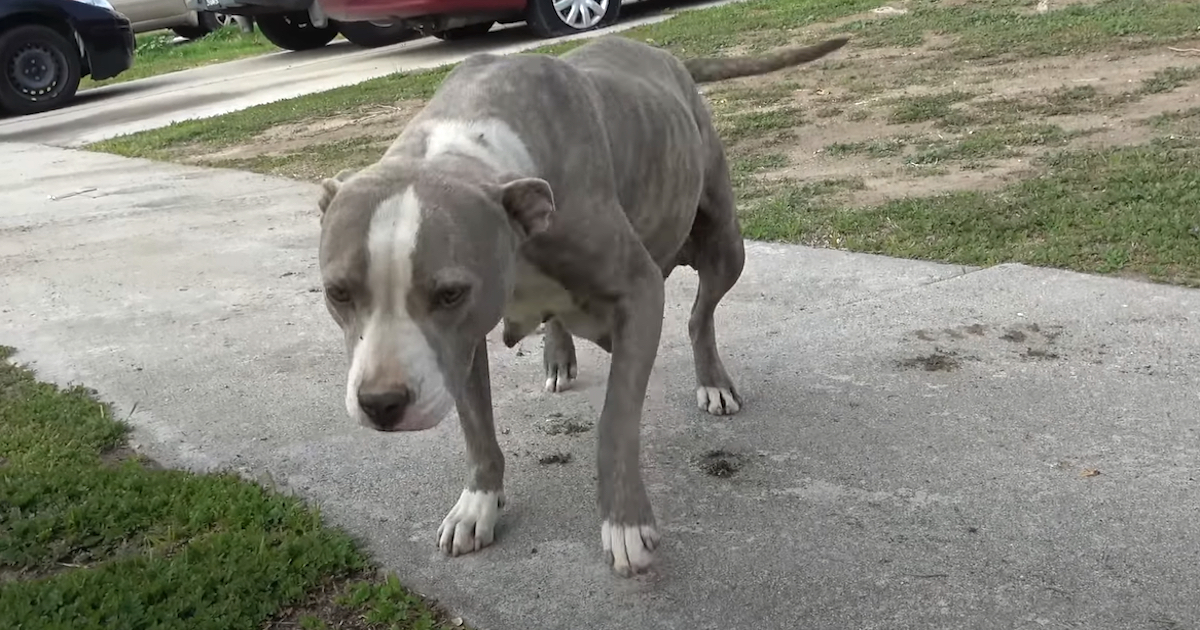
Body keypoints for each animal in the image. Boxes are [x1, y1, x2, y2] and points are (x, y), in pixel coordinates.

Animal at [314, 33, 849, 573]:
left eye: (449, 293)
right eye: (337, 292)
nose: (381, 403)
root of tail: (669, 58)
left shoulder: (639, 293)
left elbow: (615, 421)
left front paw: (625, 523)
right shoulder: (460, 345)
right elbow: (476, 425)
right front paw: (476, 504)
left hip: (725, 245)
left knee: (700, 315)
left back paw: (713, 383)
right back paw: (558, 355)